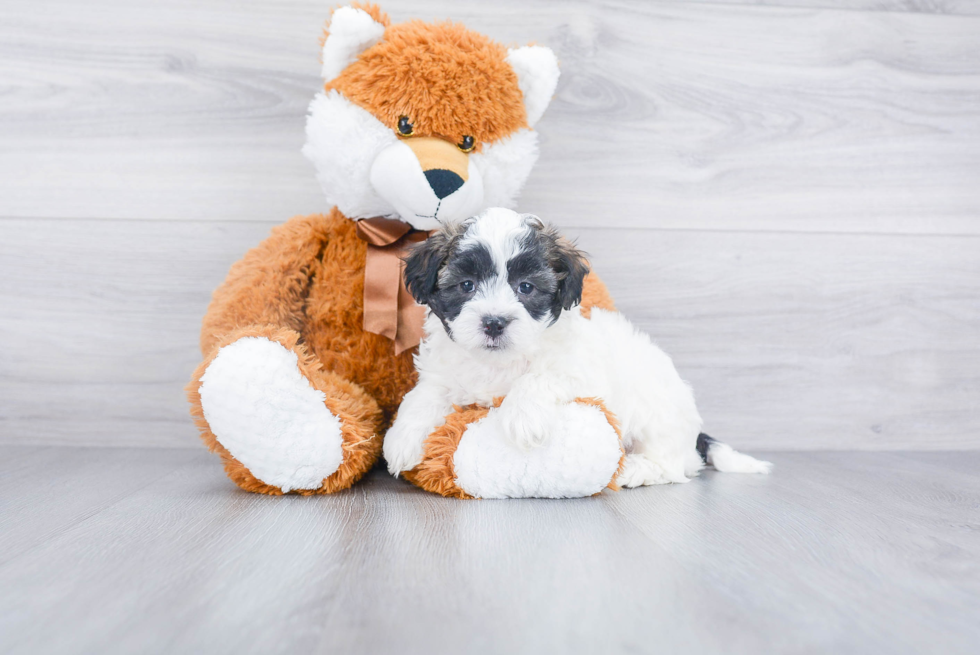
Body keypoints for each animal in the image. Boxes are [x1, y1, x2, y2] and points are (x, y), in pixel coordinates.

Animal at [384, 208, 772, 484]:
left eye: (526, 287)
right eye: (466, 285)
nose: (494, 322)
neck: (499, 363)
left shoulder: (578, 373)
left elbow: (538, 378)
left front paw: (522, 418)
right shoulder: (444, 372)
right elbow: (424, 394)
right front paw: (401, 439)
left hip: (658, 414)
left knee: (674, 465)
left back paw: (636, 470)